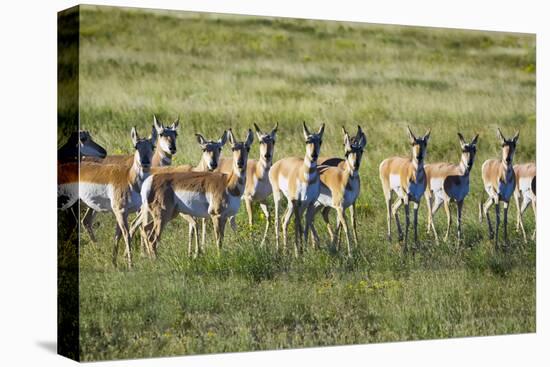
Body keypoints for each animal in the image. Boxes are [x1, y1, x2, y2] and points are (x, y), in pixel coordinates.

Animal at [58, 128, 156, 268]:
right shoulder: (120, 212)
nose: (145, 163)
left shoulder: (122, 213)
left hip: (89, 207)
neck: (129, 178)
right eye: (136, 146)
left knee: (84, 221)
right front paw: (130, 265)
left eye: (153, 147)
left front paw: (114, 263)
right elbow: (127, 235)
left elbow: (118, 235)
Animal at [270, 122, 326, 258]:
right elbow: (297, 224)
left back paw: (286, 250)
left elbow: (305, 225)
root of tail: (278, 164)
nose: (314, 155)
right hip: (278, 197)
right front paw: (298, 252)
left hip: (291, 204)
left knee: (285, 220)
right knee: (278, 221)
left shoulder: (309, 203)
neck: (306, 177)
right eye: (307, 141)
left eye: (320, 141)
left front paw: (303, 250)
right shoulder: (297, 202)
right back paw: (279, 250)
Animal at [310, 126, 366, 256]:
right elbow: (344, 227)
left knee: (313, 217)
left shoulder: (350, 204)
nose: (355, 165)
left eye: (361, 150)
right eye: (347, 151)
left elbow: (351, 222)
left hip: (319, 204)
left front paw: (355, 246)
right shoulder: (340, 207)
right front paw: (349, 252)